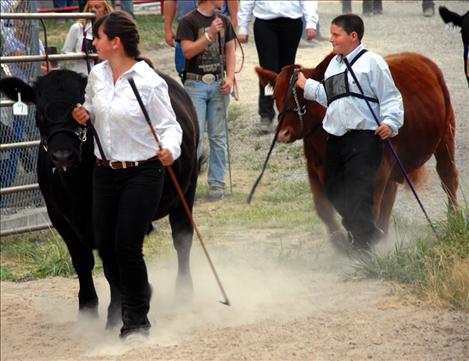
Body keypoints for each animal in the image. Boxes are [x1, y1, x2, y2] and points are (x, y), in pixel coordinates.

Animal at [0, 69, 199, 316]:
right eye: (41, 112)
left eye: (83, 108)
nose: (63, 155)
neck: (75, 188)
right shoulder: (60, 218)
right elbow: (82, 261)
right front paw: (87, 309)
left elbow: (111, 264)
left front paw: (117, 310)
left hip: (187, 187)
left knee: (182, 237)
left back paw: (184, 291)